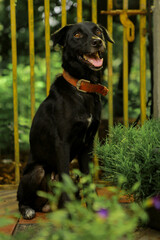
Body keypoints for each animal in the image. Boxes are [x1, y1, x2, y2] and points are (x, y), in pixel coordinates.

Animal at [16, 22, 113, 219]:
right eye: (77, 35)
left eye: (98, 31)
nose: (97, 42)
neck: (83, 89)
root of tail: (48, 205)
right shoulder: (62, 143)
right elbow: (66, 179)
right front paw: (71, 216)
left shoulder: (87, 145)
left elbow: (88, 179)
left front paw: (93, 210)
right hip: (36, 171)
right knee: (22, 199)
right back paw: (28, 210)